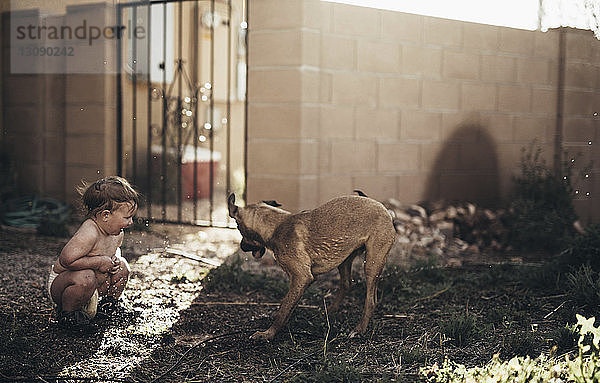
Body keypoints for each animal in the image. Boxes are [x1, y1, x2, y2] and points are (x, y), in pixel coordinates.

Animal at [227, 194, 396, 340]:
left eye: (237, 226)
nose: (241, 246)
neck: (277, 227)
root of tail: (387, 212)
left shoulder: (301, 278)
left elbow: (283, 309)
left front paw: (268, 334)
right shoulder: (301, 281)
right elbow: (288, 305)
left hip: (372, 264)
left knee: (371, 301)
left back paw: (359, 330)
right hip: (345, 259)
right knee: (347, 284)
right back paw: (330, 311)